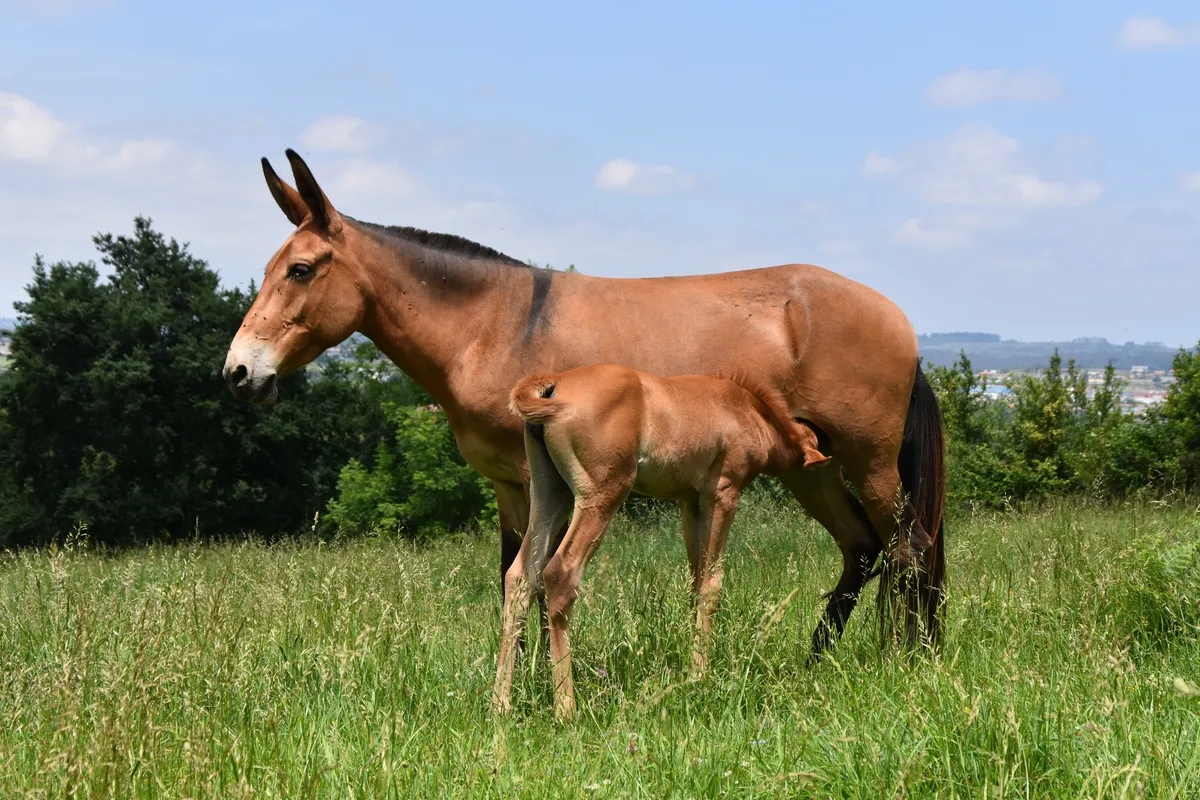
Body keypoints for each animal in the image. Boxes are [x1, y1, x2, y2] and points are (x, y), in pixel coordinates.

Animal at [223, 149, 947, 664]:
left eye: (301, 270)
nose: (238, 371)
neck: (497, 325)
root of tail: (899, 321)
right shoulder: (512, 485)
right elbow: (515, 576)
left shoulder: (545, 480)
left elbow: (541, 579)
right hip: (810, 467)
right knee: (865, 547)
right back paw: (817, 661)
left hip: (870, 462)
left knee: (910, 547)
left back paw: (906, 661)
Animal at [493, 365, 831, 717]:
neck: (749, 410)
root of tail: (555, 385)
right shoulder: (723, 493)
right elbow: (712, 583)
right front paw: (699, 674)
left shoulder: (690, 502)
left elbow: (696, 581)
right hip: (602, 494)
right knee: (559, 574)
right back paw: (566, 710)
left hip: (549, 492)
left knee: (520, 577)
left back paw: (501, 705)